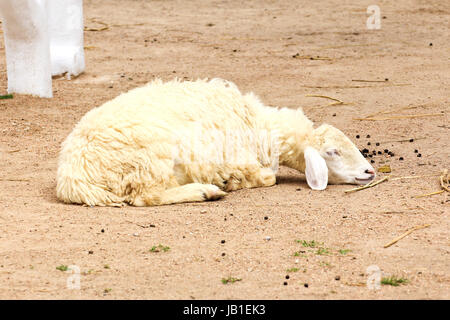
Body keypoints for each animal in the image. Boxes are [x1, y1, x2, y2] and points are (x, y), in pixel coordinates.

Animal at [56, 79, 376, 206]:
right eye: (332, 152)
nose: (370, 172)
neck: (259, 125)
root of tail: (72, 179)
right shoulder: (236, 160)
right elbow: (268, 178)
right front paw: (234, 182)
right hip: (148, 161)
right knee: (145, 197)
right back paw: (205, 192)